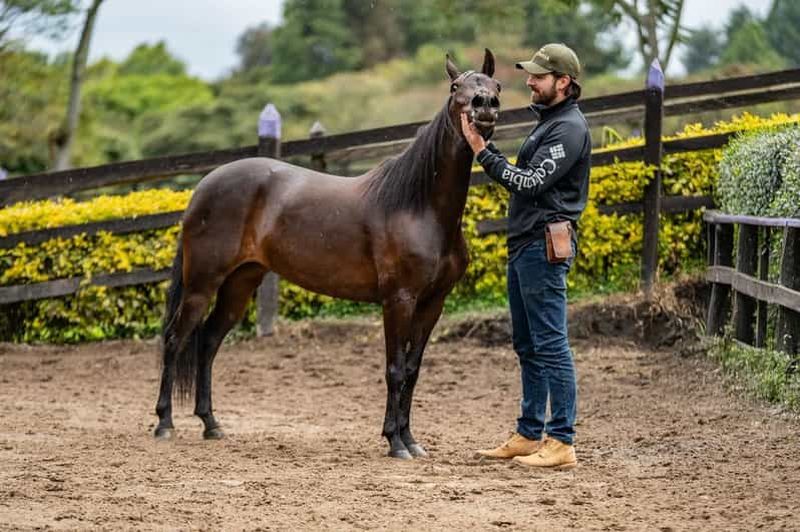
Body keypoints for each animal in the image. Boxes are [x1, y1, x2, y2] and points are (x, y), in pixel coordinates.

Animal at [154, 49, 501, 460]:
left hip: (240, 283)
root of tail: (203, 187)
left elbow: (412, 371)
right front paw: (394, 441)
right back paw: (165, 424)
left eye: (496, 85)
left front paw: (412, 440)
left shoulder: (433, 303)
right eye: (454, 86)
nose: (484, 105)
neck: (420, 208)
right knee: (175, 339)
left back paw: (211, 424)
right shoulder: (398, 300)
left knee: (207, 342)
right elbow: (394, 369)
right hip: (201, 284)